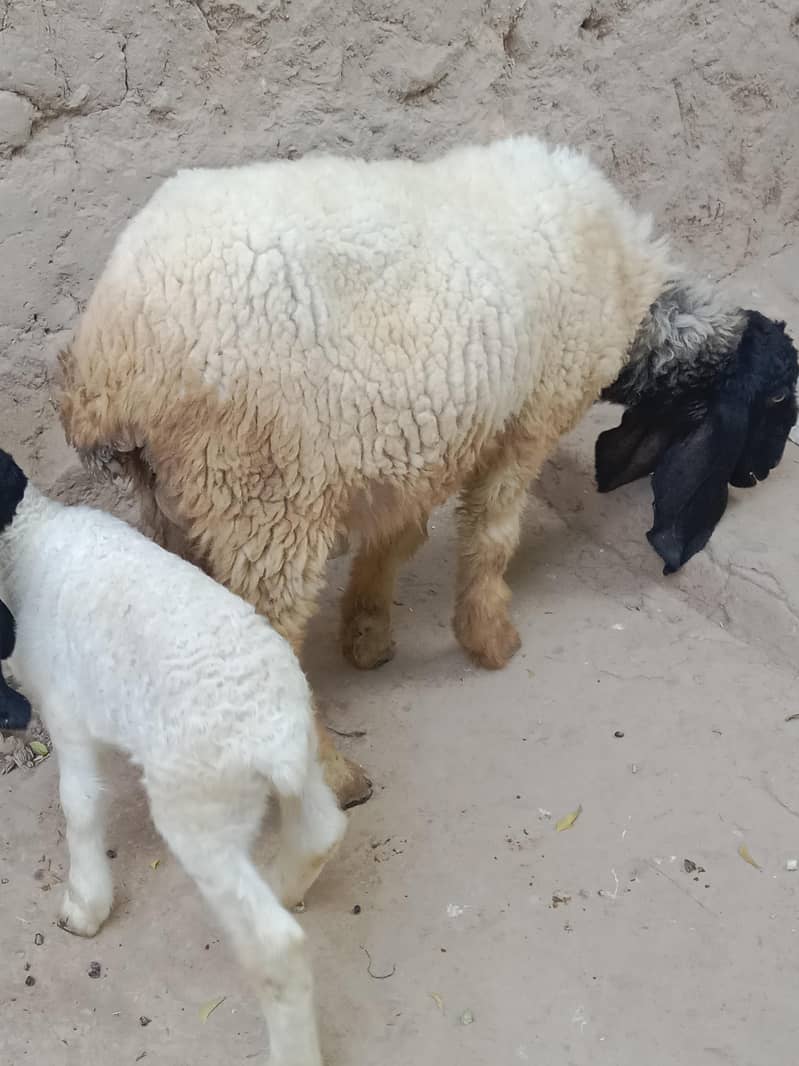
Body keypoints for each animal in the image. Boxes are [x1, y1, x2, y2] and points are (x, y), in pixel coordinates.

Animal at [0, 448, 347, 1066]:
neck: (28, 535)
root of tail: (273, 739)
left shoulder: (66, 715)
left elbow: (79, 809)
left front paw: (85, 906)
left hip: (200, 811)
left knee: (275, 947)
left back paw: (294, 1048)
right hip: (302, 764)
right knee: (322, 831)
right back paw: (289, 884)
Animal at [57, 135, 797, 804]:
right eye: (779, 399)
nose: (758, 477)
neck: (627, 285)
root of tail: (107, 364)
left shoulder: (417, 442)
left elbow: (398, 539)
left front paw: (368, 634)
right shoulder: (524, 424)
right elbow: (492, 536)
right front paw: (490, 639)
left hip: (181, 502)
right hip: (265, 499)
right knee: (266, 639)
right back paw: (337, 781)